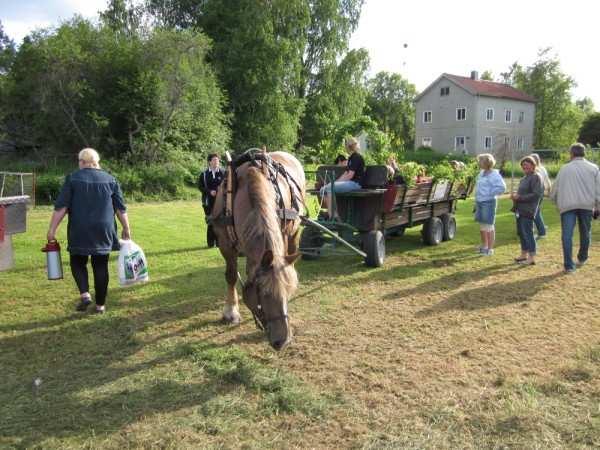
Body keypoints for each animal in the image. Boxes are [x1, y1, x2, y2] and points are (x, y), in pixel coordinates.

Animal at [210, 151, 304, 352]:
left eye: (287, 291)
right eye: (263, 293)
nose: (283, 341)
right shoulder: (225, 244)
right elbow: (231, 275)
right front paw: (231, 311)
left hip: (293, 232)